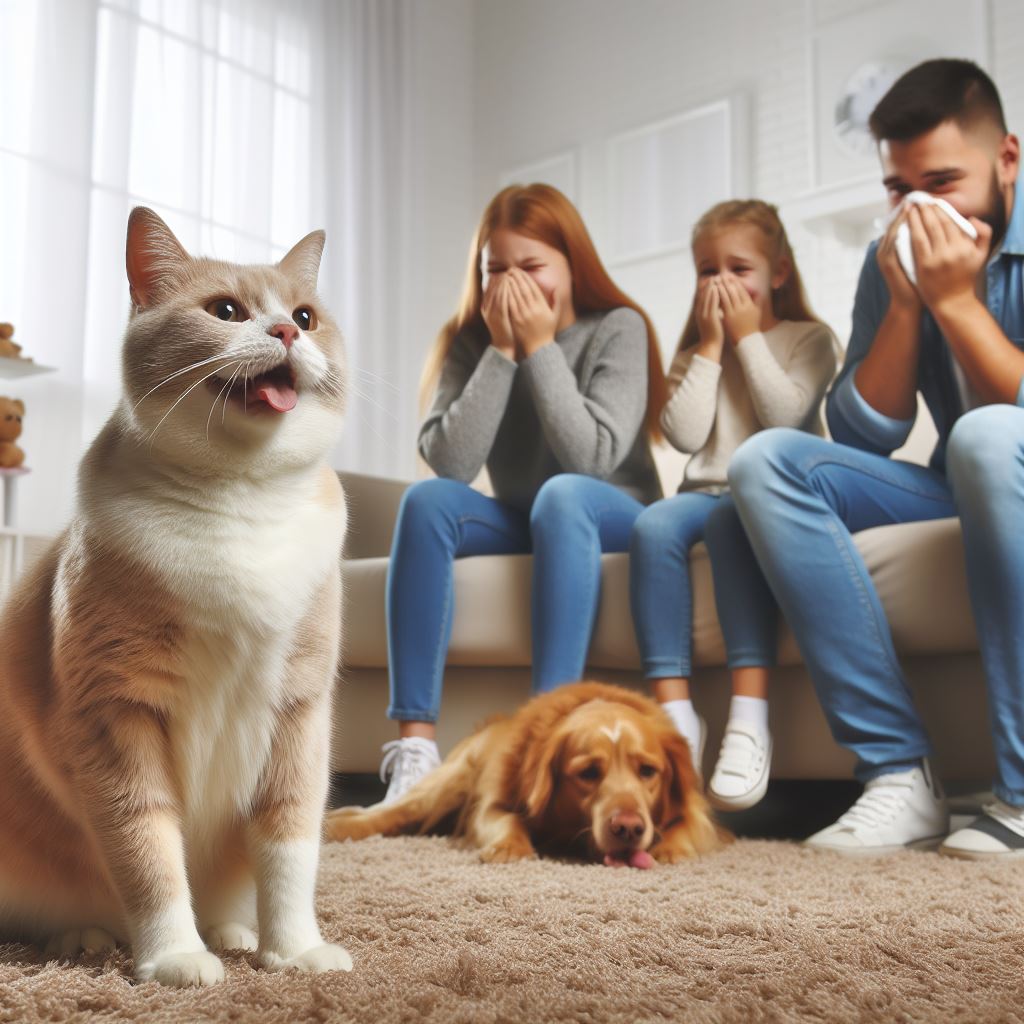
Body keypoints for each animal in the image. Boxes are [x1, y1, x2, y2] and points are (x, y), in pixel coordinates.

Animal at [0, 205, 352, 983]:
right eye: (226, 312)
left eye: (306, 317)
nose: (285, 333)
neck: (242, 504)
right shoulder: (116, 713)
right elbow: (145, 847)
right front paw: (174, 959)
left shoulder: (300, 712)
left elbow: (289, 843)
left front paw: (293, 951)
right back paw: (84, 940)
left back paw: (234, 931)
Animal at [327, 684, 729, 868]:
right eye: (588, 773)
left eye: (647, 771)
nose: (629, 828)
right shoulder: (490, 802)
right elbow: (507, 819)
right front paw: (510, 847)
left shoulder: (696, 814)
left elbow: (687, 826)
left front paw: (671, 849)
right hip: (447, 785)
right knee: (388, 813)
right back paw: (338, 824)